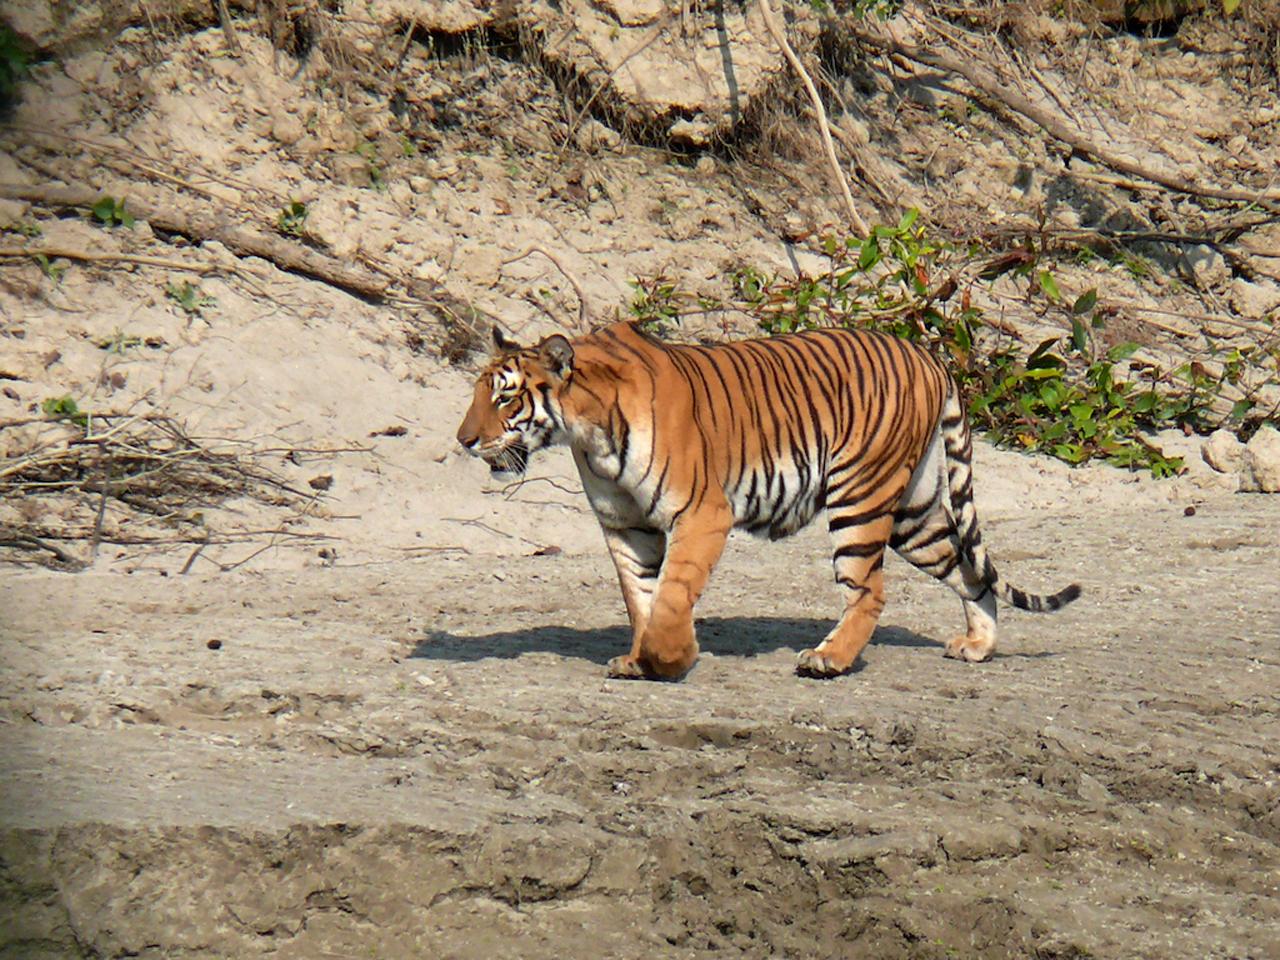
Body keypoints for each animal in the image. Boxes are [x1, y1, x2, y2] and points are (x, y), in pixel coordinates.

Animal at [455, 320, 1080, 681]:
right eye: (476, 393)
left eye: (505, 397)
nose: (463, 441)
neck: (587, 433)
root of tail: (927, 355)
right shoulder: (624, 525)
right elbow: (640, 599)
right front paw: (638, 660)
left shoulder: (701, 513)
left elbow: (670, 598)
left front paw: (670, 659)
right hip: (913, 511)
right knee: (967, 570)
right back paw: (978, 646)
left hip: (860, 495)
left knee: (870, 589)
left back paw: (828, 659)